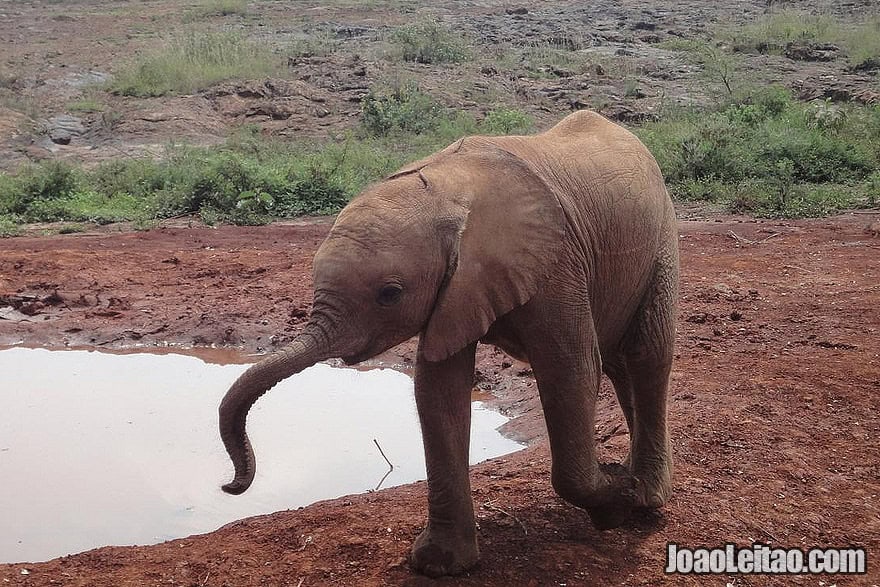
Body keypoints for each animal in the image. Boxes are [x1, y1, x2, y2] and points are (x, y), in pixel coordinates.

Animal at [218, 110, 680, 580]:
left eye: (390, 294)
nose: (232, 484)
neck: (446, 192)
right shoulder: (456, 290)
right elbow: (438, 390)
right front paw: (439, 564)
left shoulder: (557, 263)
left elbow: (571, 371)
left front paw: (617, 503)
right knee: (621, 364)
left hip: (662, 239)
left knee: (647, 354)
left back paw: (647, 498)